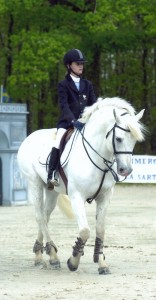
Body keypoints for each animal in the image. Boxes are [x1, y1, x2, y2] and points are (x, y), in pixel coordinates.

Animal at [17, 98, 146, 274]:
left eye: (134, 140)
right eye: (119, 139)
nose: (125, 170)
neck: (98, 157)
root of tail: (29, 137)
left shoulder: (104, 197)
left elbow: (100, 230)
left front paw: (102, 264)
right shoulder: (77, 197)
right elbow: (85, 231)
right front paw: (73, 261)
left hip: (51, 190)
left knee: (45, 216)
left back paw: (41, 256)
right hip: (34, 184)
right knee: (40, 217)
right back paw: (53, 256)